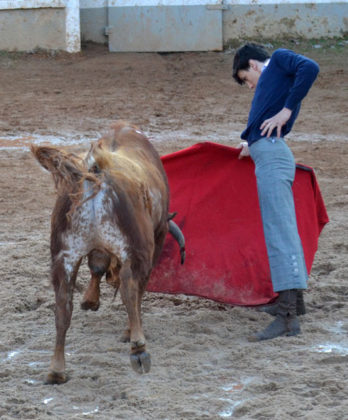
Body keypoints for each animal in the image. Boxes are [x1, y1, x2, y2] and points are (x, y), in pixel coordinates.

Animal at [32, 121, 185, 384]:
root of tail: (95, 171)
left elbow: (97, 266)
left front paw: (90, 300)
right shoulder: (156, 239)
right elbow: (135, 290)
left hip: (64, 256)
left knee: (63, 307)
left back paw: (56, 370)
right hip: (137, 250)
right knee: (129, 288)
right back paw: (138, 348)